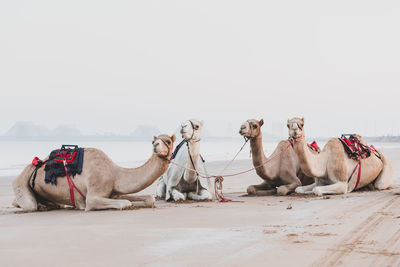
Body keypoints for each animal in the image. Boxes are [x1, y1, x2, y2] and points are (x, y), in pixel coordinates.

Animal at [12, 135, 175, 213]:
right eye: (153, 141)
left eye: (168, 140)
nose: (156, 146)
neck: (114, 173)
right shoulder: (94, 195)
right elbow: (126, 203)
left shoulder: (114, 192)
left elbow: (148, 199)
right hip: (21, 184)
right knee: (30, 205)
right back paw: (39, 207)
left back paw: (48, 205)